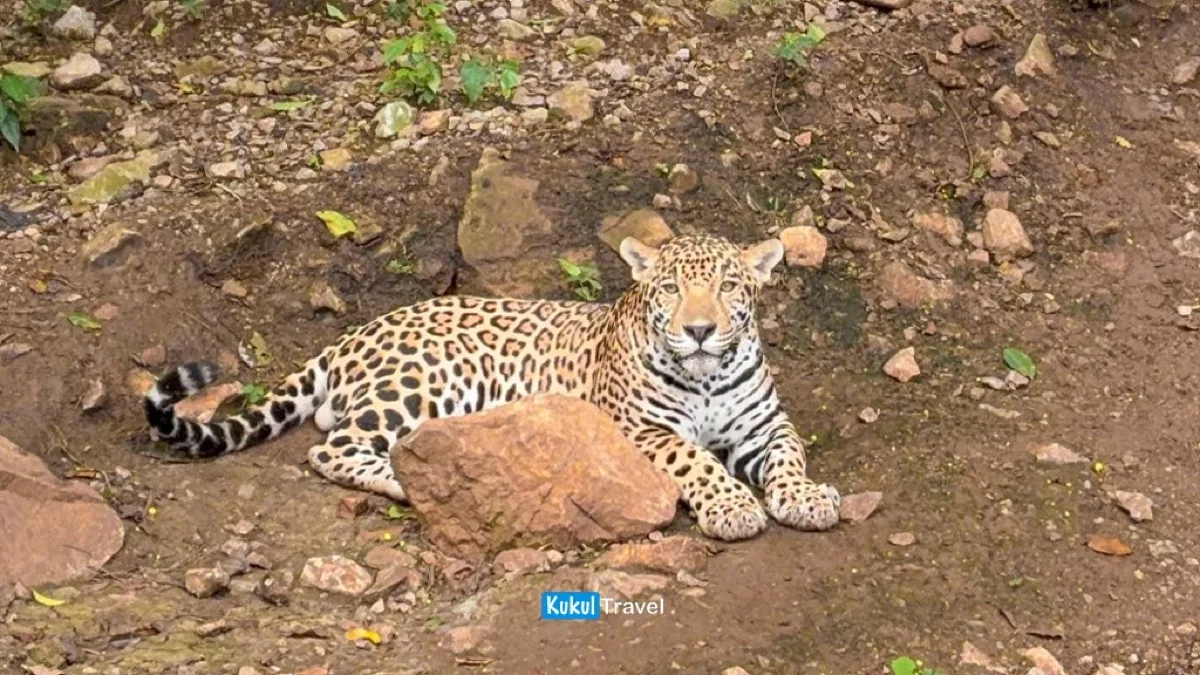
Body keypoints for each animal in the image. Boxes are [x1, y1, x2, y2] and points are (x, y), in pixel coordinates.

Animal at [145, 233, 841, 541]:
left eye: (728, 287)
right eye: (669, 288)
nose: (699, 330)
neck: (706, 376)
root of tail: (351, 335)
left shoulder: (764, 425)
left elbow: (788, 455)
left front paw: (804, 498)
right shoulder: (639, 429)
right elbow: (694, 457)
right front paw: (732, 508)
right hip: (421, 381)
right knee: (331, 447)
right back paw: (411, 484)